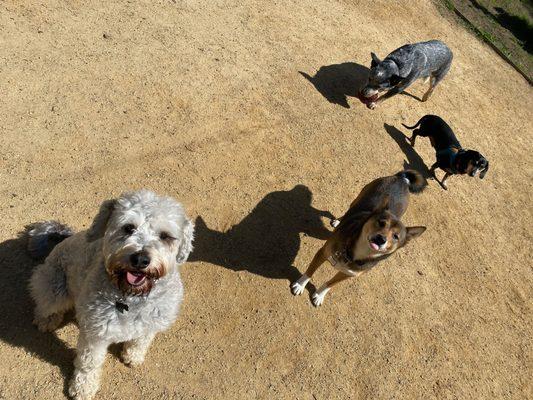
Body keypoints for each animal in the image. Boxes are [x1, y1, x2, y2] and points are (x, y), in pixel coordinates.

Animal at [27, 191, 193, 400]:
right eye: (128, 228)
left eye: (165, 236)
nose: (140, 259)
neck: (132, 299)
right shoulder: (95, 334)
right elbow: (89, 363)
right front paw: (83, 388)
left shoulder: (151, 324)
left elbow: (140, 342)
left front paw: (133, 357)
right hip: (54, 287)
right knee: (44, 303)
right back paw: (47, 320)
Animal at [288, 170, 426, 306]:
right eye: (381, 222)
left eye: (396, 236)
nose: (381, 239)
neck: (355, 254)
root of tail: (402, 179)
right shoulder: (322, 253)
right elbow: (309, 272)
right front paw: (300, 285)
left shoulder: (347, 274)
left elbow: (330, 284)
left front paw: (319, 295)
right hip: (358, 198)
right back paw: (338, 221)